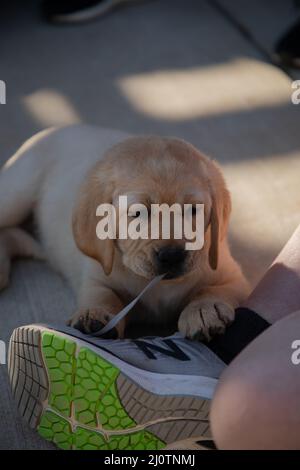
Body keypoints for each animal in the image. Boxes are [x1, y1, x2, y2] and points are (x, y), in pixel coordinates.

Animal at [0, 124, 248, 338]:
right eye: (138, 213)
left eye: (193, 210)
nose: (172, 256)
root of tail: (51, 130)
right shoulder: (96, 276)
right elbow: (102, 294)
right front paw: (94, 314)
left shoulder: (232, 275)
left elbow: (212, 290)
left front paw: (204, 310)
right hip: (15, 194)